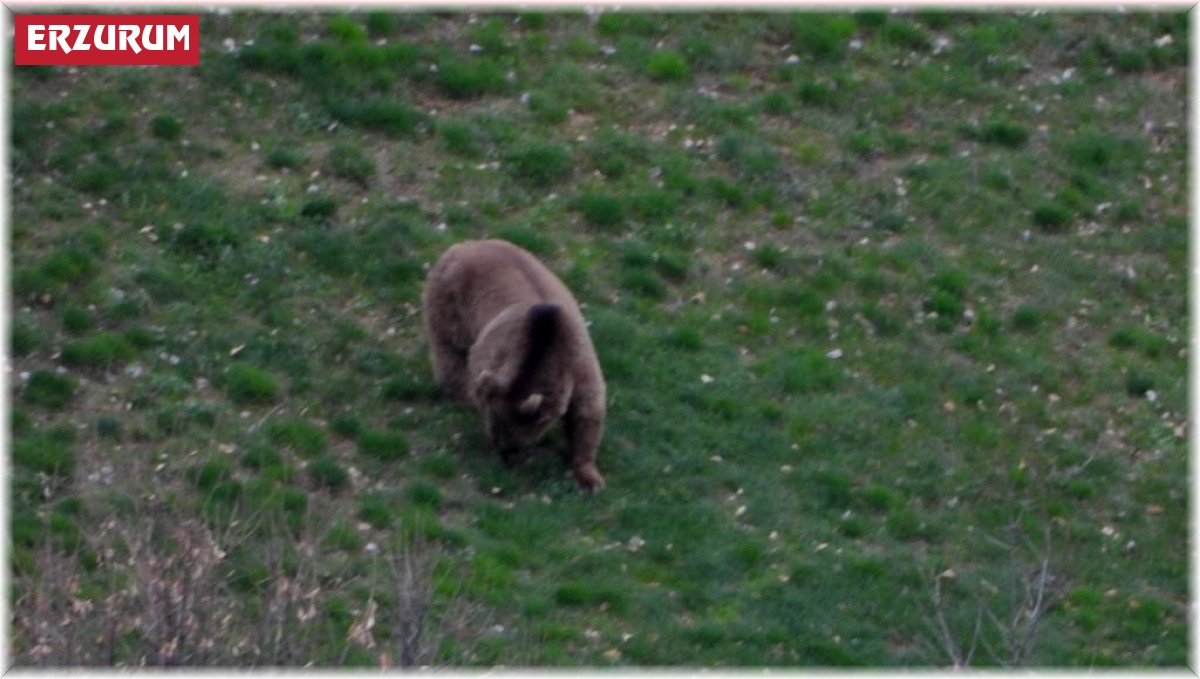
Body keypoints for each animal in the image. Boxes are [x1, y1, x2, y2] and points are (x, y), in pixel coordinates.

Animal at [424, 241, 609, 494]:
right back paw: (458, 392)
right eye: (496, 429)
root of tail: (463, 245)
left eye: (515, 439)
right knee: (450, 351)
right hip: (451, 301)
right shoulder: (497, 352)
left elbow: (587, 415)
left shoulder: (579, 365)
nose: (506, 454)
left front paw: (589, 476)